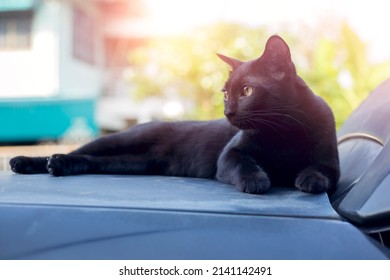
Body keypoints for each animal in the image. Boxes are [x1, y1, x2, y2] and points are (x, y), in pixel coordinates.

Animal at [9, 35, 338, 194]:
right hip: (122, 139)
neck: (283, 132)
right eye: (225, 92)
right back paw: (30, 162)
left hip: (134, 163)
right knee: (81, 151)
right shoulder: (229, 155)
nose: (228, 110)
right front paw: (257, 180)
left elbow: (320, 171)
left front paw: (311, 181)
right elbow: (244, 164)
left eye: (246, 91)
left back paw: (59, 166)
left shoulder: (331, 162)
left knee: (91, 162)